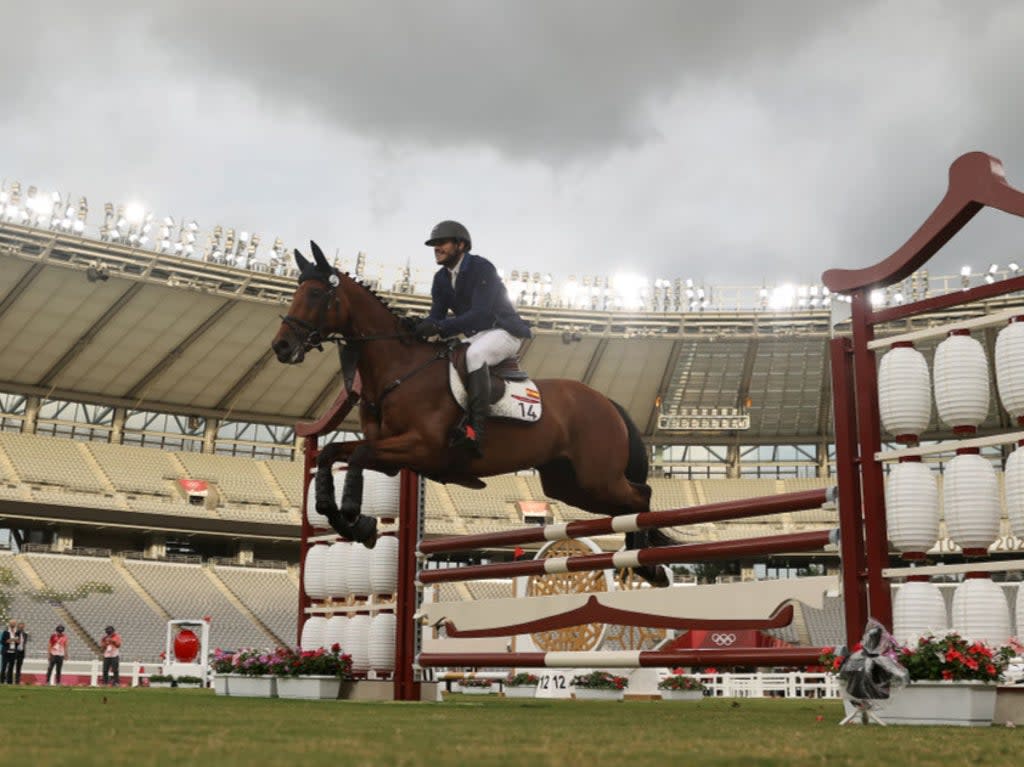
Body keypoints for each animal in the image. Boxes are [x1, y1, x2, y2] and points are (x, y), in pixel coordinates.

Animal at [268, 242, 675, 581]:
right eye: (296, 293)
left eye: (316, 293)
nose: (281, 347)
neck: (399, 370)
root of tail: (606, 401)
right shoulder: (392, 456)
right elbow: (334, 453)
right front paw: (347, 520)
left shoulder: (421, 448)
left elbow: (357, 455)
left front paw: (356, 517)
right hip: (569, 483)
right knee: (623, 504)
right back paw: (643, 560)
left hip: (596, 476)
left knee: (640, 495)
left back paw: (647, 563)